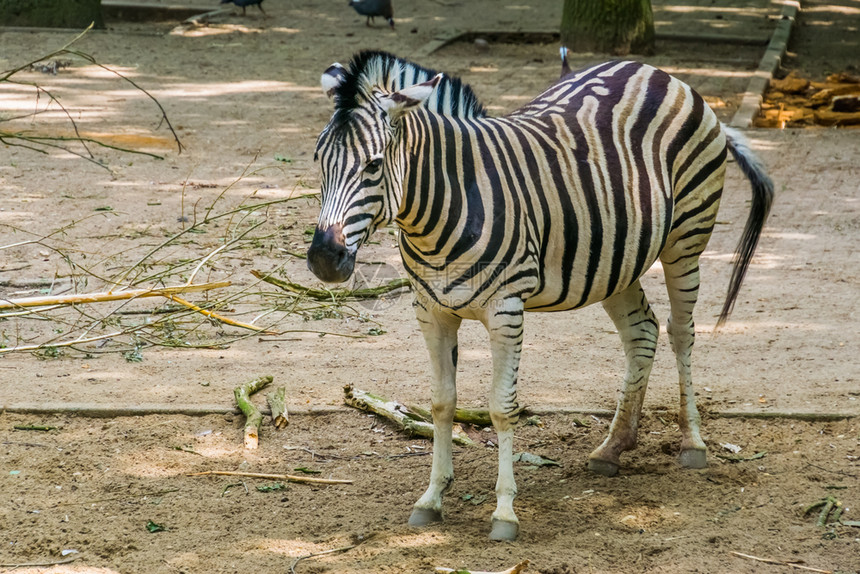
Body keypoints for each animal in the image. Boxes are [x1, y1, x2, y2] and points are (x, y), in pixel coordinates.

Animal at [308, 51, 772, 544]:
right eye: (318, 159)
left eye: (374, 165)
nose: (323, 259)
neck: (441, 210)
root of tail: (654, 71)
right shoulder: (431, 311)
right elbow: (441, 403)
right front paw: (431, 499)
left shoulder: (506, 310)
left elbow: (501, 408)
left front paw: (504, 512)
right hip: (616, 259)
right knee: (642, 332)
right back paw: (613, 446)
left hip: (685, 240)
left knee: (680, 332)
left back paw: (692, 442)